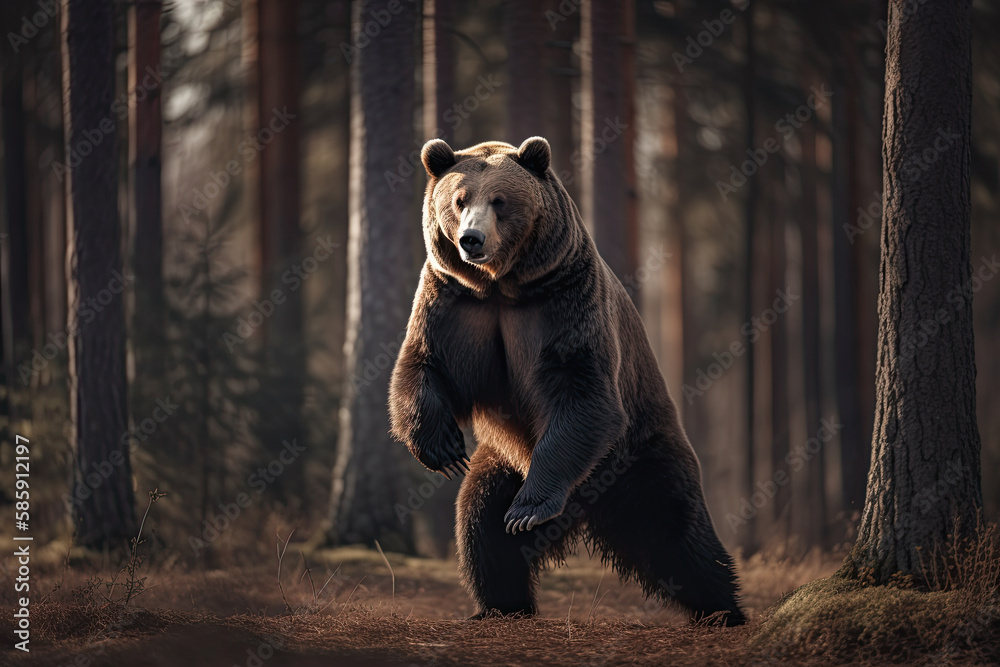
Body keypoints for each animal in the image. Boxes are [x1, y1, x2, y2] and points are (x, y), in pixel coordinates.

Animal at [388, 136, 746, 625]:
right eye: (459, 200)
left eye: (499, 201)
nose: (471, 239)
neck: (502, 286)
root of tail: (583, 509)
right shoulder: (454, 304)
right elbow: (426, 365)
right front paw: (442, 449)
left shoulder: (564, 301)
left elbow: (583, 393)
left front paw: (528, 507)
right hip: (505, 463)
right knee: (482, 524)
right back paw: (500, 602)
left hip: (640, 456)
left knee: (680, 534)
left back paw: (725, 610)